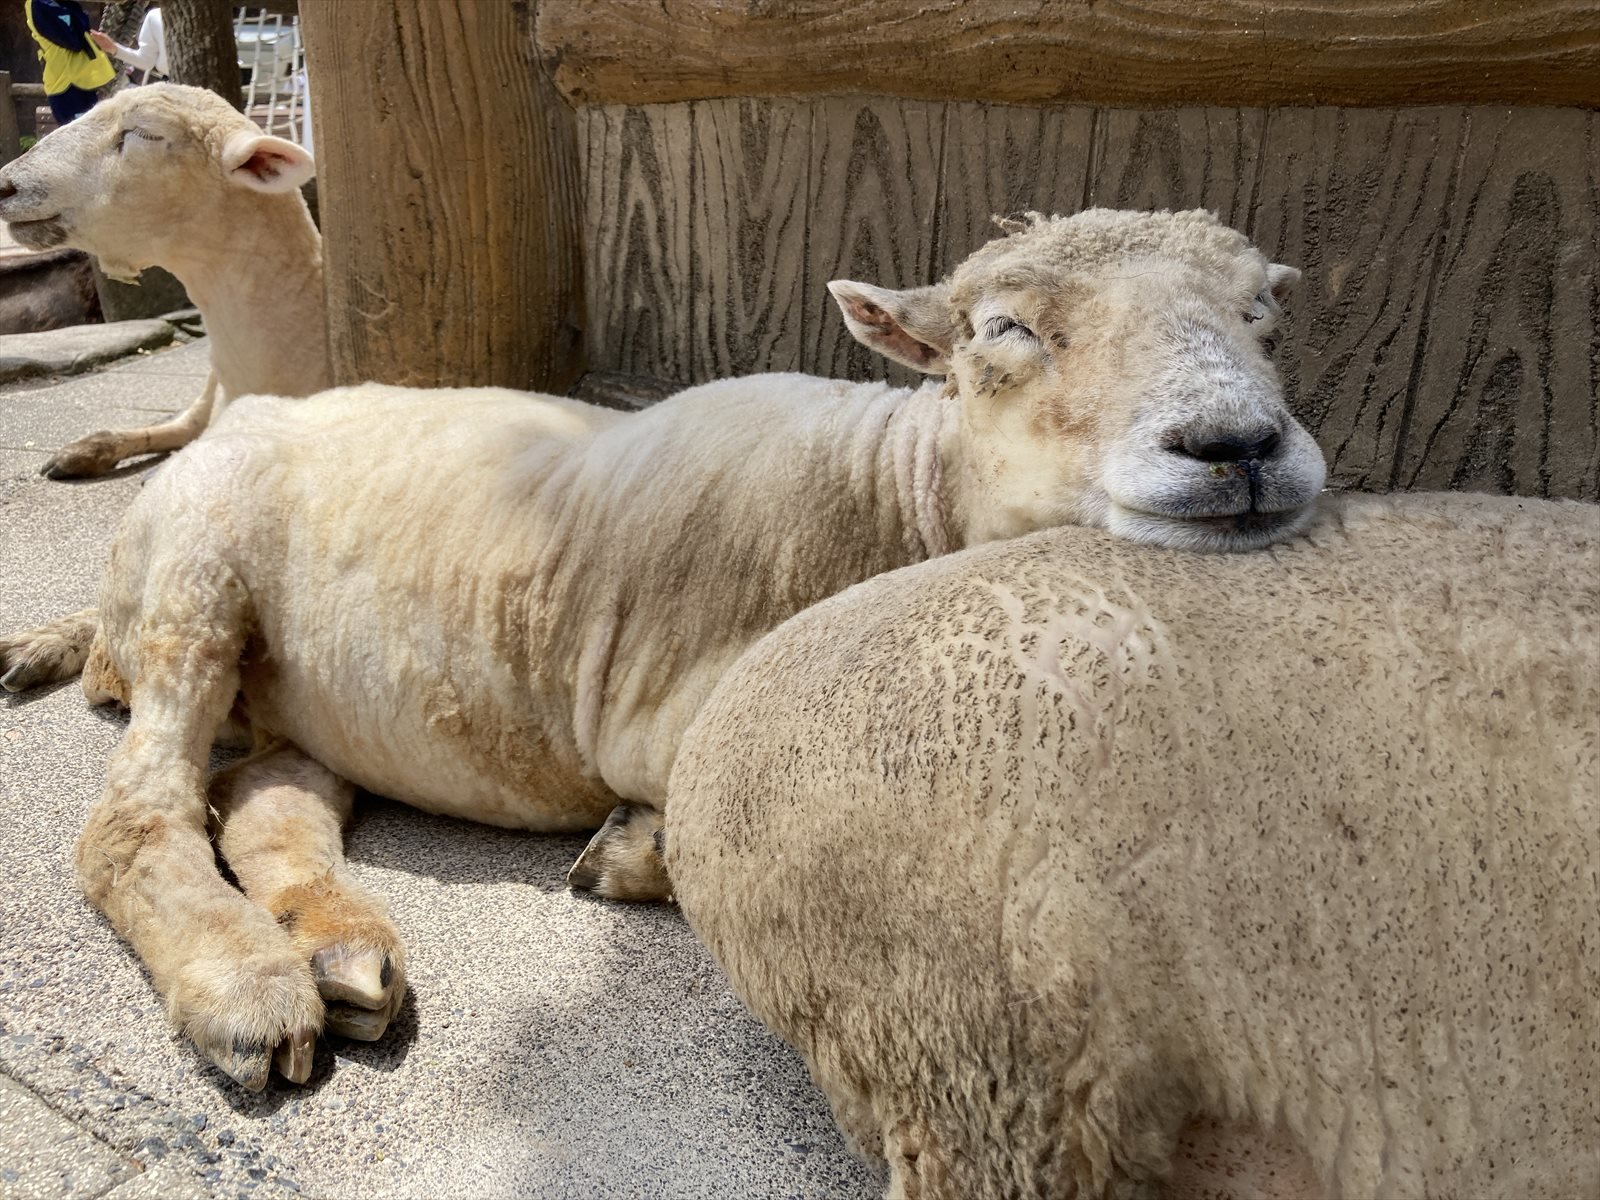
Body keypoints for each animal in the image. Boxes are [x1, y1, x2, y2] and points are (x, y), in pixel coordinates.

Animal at [6, 211, 1331, 1094]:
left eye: (1263, 308)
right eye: (1002, 329)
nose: (1237, 446)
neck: (893, 499)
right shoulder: (691, 723)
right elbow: (717, 834)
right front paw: (633, 852)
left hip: (323, 703)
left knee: (261, 805)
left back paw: (340, 952)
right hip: (197, 580)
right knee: (136, 819)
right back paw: (247, 989)